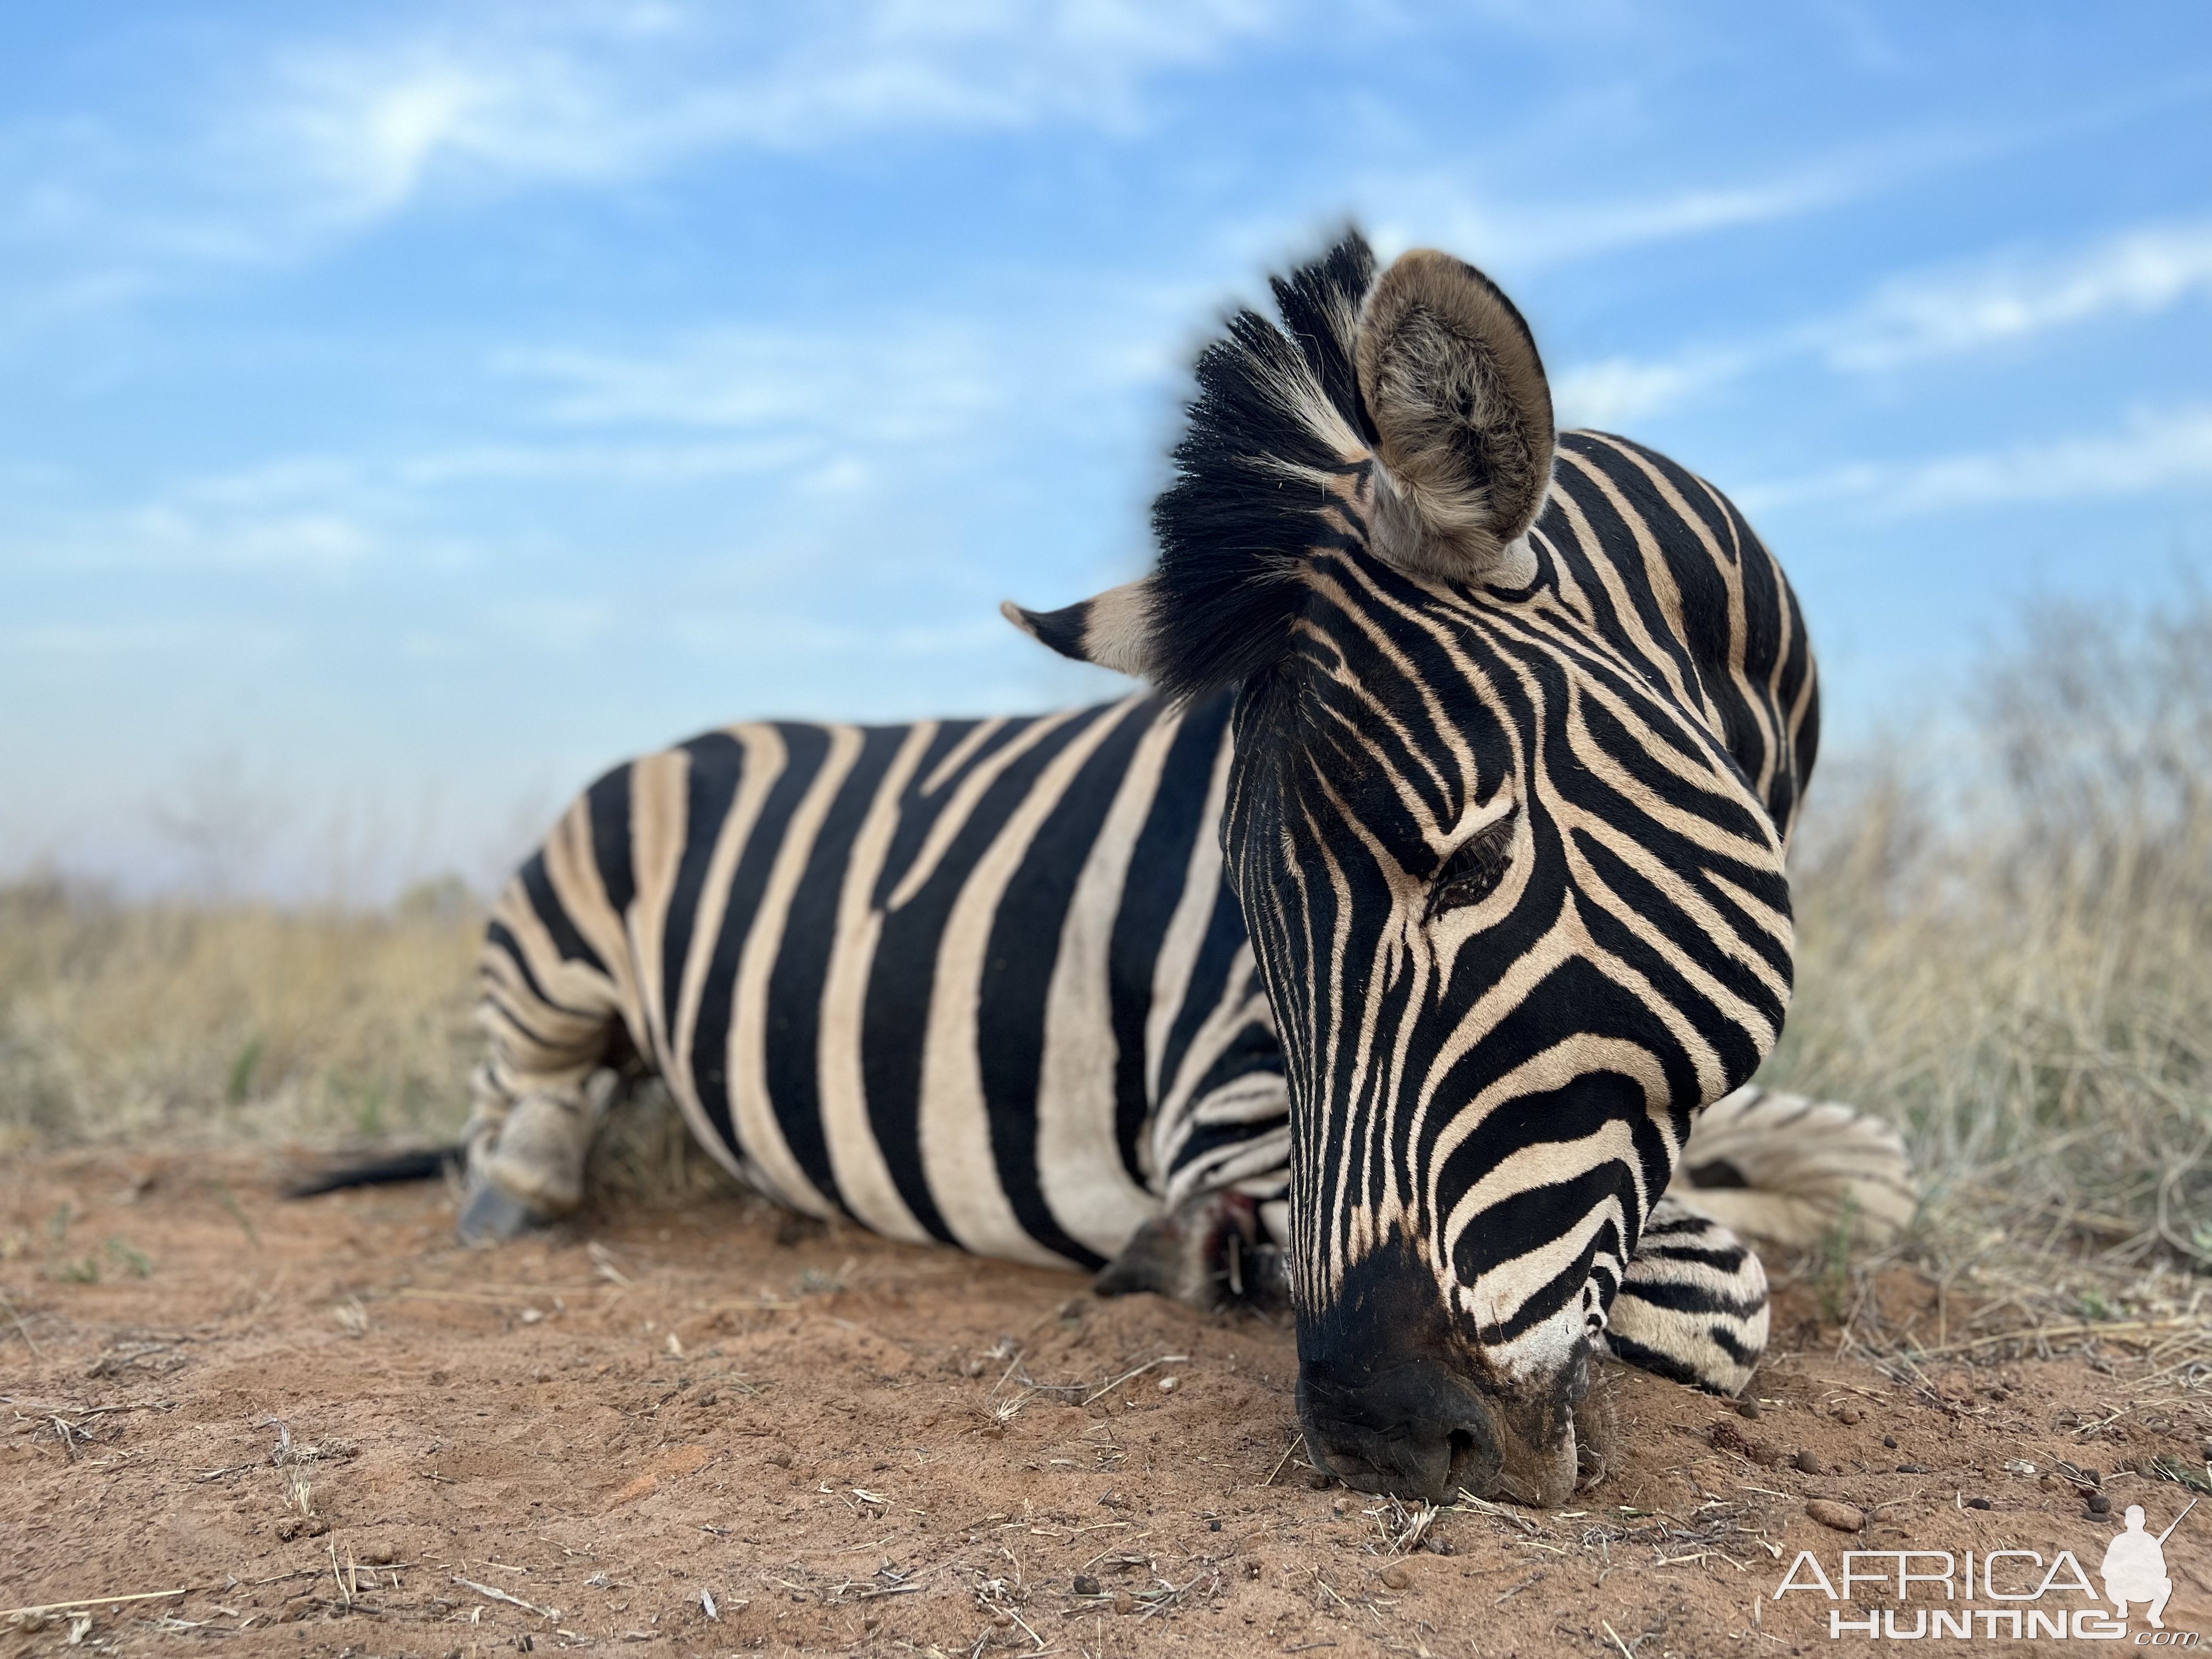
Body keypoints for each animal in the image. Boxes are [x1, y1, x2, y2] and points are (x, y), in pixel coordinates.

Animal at [298, 236, 1920, 1522]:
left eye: (1471, 864)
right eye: (1250, 922)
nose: (1384, 1441)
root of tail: (698, 734)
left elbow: (1865, 1179)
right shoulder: (1222, 1095)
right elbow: (1725, 1291)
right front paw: (1215, 1253)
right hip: (560, 935)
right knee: (518, 1106)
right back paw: (519, 1182)